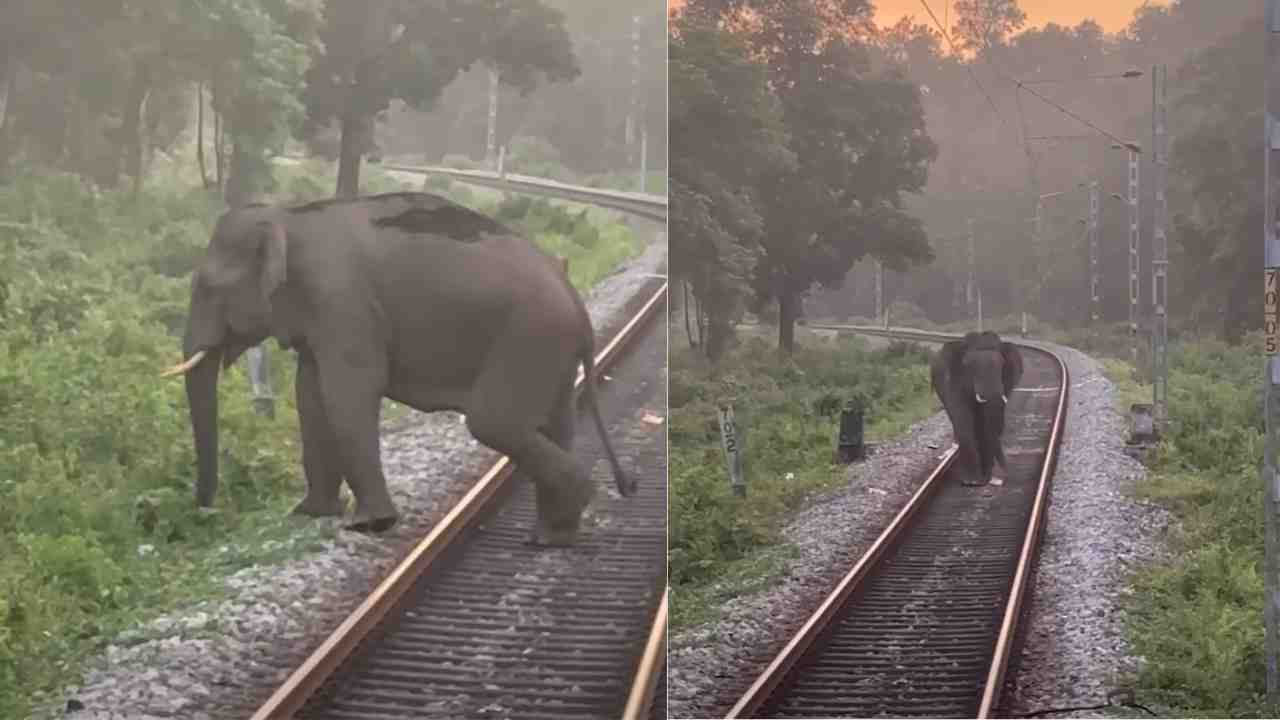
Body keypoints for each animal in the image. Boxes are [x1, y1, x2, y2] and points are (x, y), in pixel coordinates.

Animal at [160, 191, 632, 546]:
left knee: (491, 422)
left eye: (208, 288)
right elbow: (310, 395)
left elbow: (346, 393)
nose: (205, 511)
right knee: (555, 423)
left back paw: (575, 502)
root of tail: (576, 304)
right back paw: (553, 536)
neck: (289, 215)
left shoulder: (342, 301)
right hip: (551, 352)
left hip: (528, 337)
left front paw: (369, 524)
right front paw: (310, 513)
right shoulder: (322, 315)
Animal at [929, 331, 1024, 486]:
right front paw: (971, 481)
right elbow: (963, 420)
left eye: (1002, 364)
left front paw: (984, 479)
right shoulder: (952, 383)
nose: (1004, 476)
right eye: (969, 366)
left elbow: (987, 426)